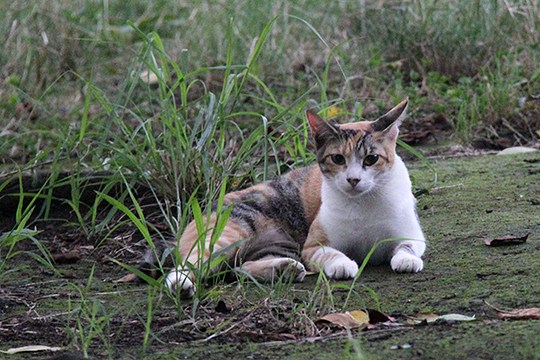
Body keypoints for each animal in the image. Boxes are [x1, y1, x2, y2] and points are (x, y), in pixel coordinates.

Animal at [165, 97, 426, 296]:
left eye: (371, 159)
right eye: (338, 159)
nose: (353, 180)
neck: (363, 203)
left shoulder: (412, 233)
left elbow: (408, 245)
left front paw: (406, 259)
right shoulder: (312, 246)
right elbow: (331, 252)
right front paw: (342, 264)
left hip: (280, 245)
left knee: (242, 267)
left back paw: (284, 269)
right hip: (231, 234)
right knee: (193, 262)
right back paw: (180, 284)